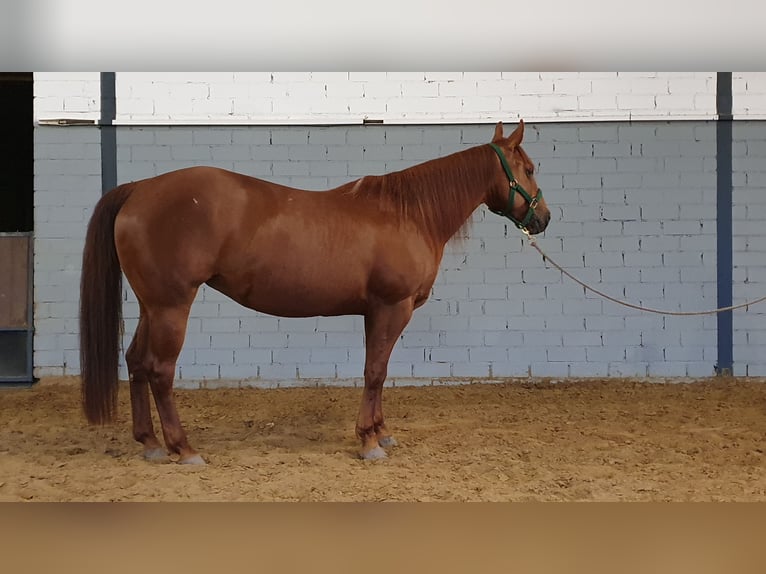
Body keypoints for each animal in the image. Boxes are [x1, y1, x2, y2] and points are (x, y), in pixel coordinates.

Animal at [79, 119, 552, 466]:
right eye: (529, 169)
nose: (544, 218)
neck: (409, 214)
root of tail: (140, 190)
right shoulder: (392, 308)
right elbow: (374, 372)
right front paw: (368, 443)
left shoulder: (374, 312)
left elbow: (378, 371)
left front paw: (381, 432)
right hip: (172, 306)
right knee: (160, 370)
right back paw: (184, 449)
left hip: (151, 305)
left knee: (136, 362)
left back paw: (150, 444)